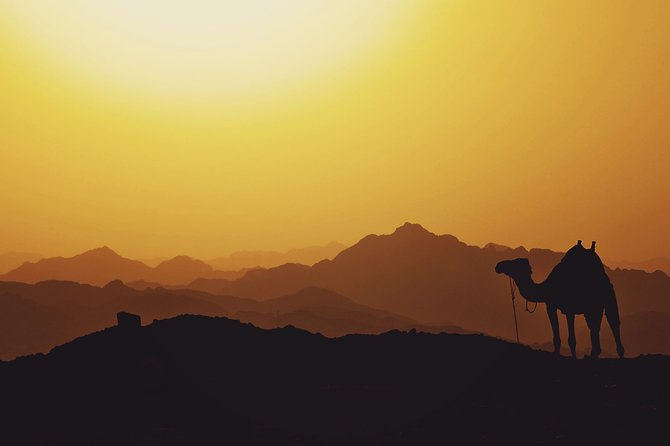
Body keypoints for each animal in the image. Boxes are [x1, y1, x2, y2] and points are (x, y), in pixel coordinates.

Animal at [495, 240, 624, 359]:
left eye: (514, 263)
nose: (498, 266)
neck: (547, 287)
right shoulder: (554, 307)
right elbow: (558, 339)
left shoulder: (564, 308)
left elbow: (570, 340)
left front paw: (573, 357)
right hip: (594, 307)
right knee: (595, 328)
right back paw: (593, 355)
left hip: (607, 297)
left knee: (612, 323)